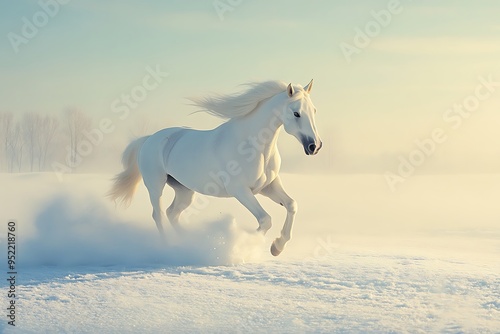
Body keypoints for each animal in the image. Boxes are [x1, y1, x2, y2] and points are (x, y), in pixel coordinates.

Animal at [107, 79, 322, 256]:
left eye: (314, 111)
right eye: (296, 113)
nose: (315, 146)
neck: (252, 146)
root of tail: (149, 139)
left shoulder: (268, 187)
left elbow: (291, 205)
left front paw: (277, 247)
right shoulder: (240, 190)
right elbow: (265, 219)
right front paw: (249, 245)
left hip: (184, 191)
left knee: (172, 213)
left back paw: (188, 243)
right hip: (155, 185)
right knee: (158, 215)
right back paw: (168, 247)